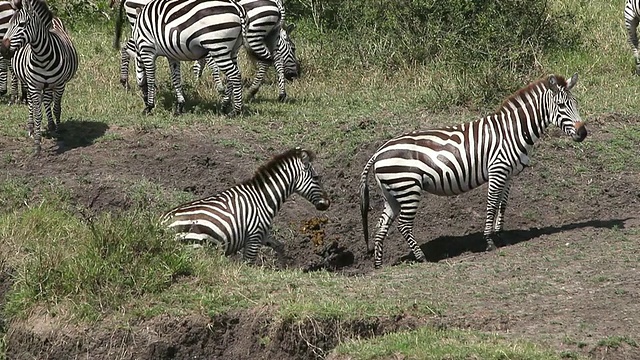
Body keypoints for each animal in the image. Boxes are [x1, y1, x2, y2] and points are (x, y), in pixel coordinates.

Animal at [0, 0, 78, 154]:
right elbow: (37, 113)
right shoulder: (34, 86)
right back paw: (31, 128)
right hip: (31, 82)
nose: (3, 49)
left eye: (22, 24)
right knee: (32, 102)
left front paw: (58, 131)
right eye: (9, 24)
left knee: (48, 101)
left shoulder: (59, 85)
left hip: (49, 85)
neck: (42, 56)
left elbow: (56, 108)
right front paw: (37, 143)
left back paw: (52, 125)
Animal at [161, 146, 330, 262]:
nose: (327, 203)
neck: (262, 198)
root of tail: (161, 224)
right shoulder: (254, 237)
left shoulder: (263, 234)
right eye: (316, 178)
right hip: (195, 245)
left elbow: (279, 246)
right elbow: (248, 264)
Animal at [358, 73, 588, 268]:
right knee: (403, 225)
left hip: (392, 193)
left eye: (575, 103)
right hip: (407, 188)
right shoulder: (497, 170)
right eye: (560, 105)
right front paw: (489, 241)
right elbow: (491, 205)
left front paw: (501, 236)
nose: (583, 133)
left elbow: (501, 206)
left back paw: (378, 266)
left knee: (381, 227)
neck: (513, 131)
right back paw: (423, 258)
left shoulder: (508, 175)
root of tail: (378, 152)